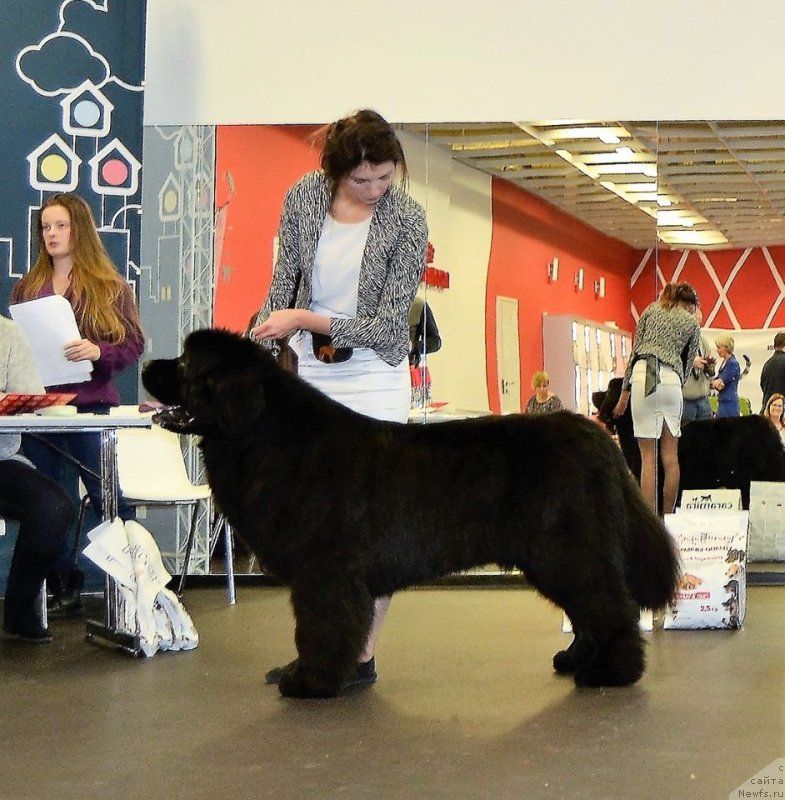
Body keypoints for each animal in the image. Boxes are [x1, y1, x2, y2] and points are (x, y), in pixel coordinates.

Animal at [142, 328, 680, 696]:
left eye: (185, 365)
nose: (146, 363)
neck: (265, 434)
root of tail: (597, 438)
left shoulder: (324, 573)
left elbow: (319, 628)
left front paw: (310, 681)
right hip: (559, 556)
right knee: (589, 611)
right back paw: (575, 659)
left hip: (566, 551)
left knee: (611, 608)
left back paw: (612, 672)